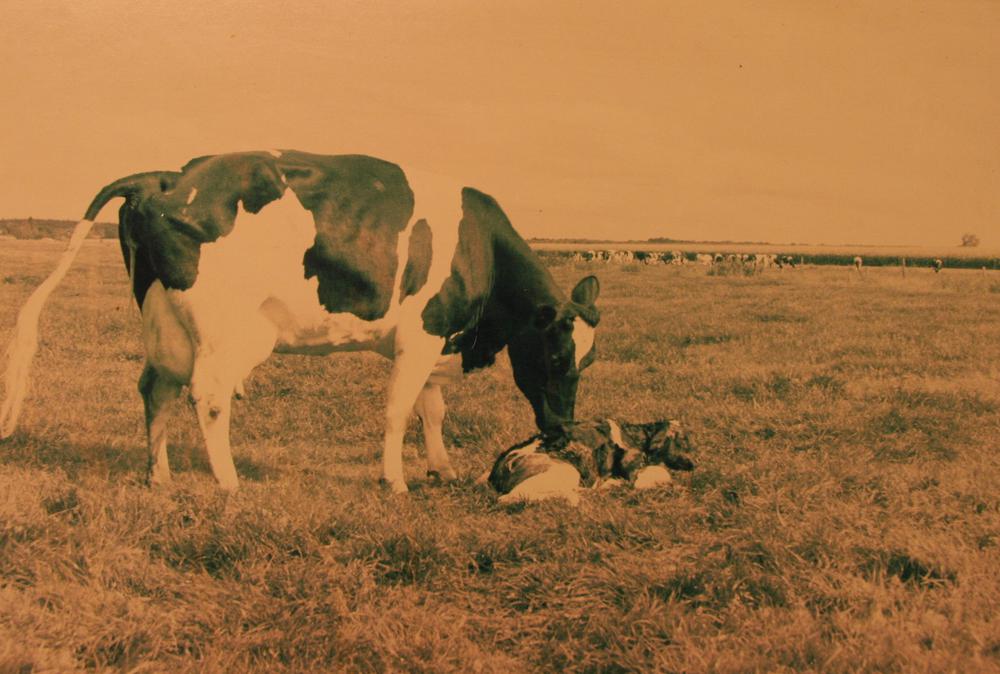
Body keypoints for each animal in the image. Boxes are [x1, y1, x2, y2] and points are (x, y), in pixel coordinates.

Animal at [0, 150, 601, 494]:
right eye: (556, 357)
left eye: (588, 361)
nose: (560, 430)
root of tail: (170, 176)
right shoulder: (423, 333)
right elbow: (399, 410)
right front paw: (395, 480)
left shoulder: (436, 335)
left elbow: (431, 409)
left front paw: (441, 468)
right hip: (225, 330)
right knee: (207, 396)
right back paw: (228, 483)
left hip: (163, 321)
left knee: (155, 388)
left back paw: (160, 474)